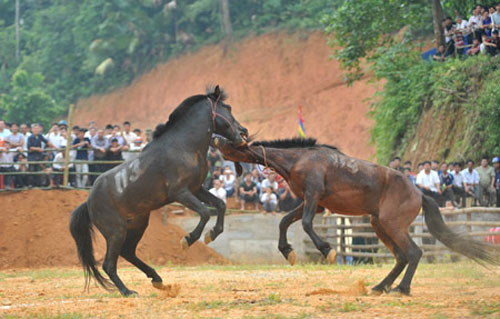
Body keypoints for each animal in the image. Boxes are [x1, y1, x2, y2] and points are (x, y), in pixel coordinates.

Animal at [69, 86, 249, 296]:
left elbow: (220, 205)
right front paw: (188, 239)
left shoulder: (197, 189)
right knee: (109, 264)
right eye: (227, 108)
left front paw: (212, 234)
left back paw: (157, 279)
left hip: (138, 224)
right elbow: (205, 212)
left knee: (127, 252)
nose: (243, 132)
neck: (184, 146)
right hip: (116, 231)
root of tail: (89, 201)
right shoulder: (181, 193)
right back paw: (127, 291)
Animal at [213, 136, 498, 296]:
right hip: (379, 224)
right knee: (402, 256)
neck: (298, 160)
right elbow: (285, 221)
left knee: (413, 253)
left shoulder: (313, 197)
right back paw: (381, 286)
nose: (215, 140)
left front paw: (327, 250)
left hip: (392, 225)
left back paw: (401, 289)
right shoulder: (312, 203)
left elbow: (305, 224)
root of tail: (418, 192)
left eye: (233, 141)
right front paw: (287, 251)